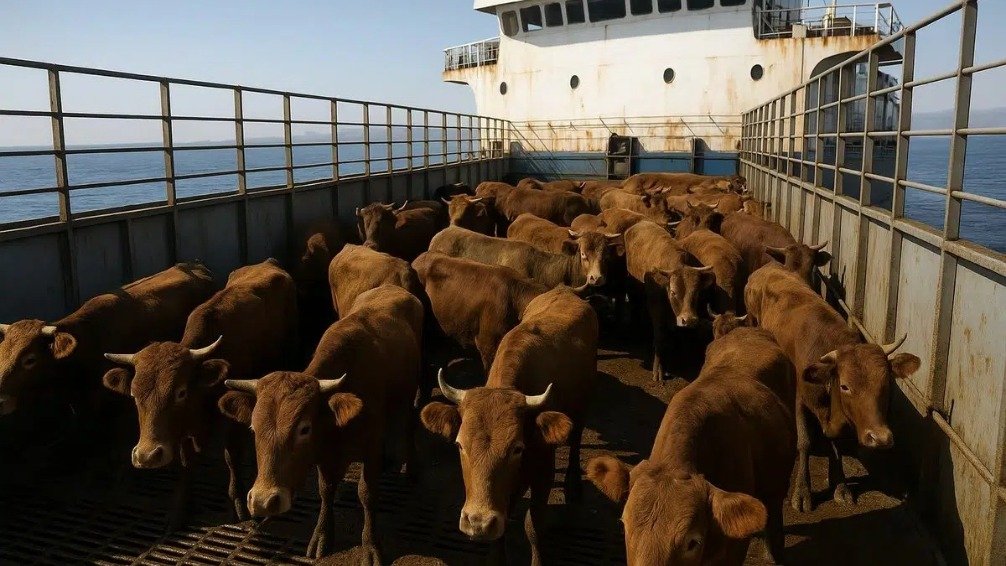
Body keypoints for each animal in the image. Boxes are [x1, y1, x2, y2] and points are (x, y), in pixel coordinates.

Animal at [101, 259, 298, 527]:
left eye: (180, 392)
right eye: (134, 395)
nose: (147, 455)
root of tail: (267, 262)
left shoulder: (232, 421)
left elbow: (231, 457)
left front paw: (238, 503)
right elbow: (186, 462)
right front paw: (180, 507)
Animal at [219, 284, 422, 561]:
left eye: (304, 428)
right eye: (253, 428)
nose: (263, 501)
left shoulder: (369, 449)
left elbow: (367, 494)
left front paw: (370, 545)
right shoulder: (325, 457)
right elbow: (326, 491)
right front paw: (322, 535)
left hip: (411, 391)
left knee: (408, 425)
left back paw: (410, 468)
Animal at [421, 287, 597, 566]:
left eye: (517, 448)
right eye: (459, 445)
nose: (478, 522)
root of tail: (564, 290)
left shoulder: (543, 474)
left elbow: (533, 527)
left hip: (583, 404)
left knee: (577, 438)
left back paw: (573, 484)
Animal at [623, 220, 715, 381]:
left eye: (697, 293)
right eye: (673, 292)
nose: (689, 320)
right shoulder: (656, 308)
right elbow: (660, 336)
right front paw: (659, 369)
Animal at [745, 263, 921, 512]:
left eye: (886, 383)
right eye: (845, 386)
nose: (880, 438)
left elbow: (835, 444)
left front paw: (841, 486)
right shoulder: (799, 399)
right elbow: (804, 442)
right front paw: (802, 491)